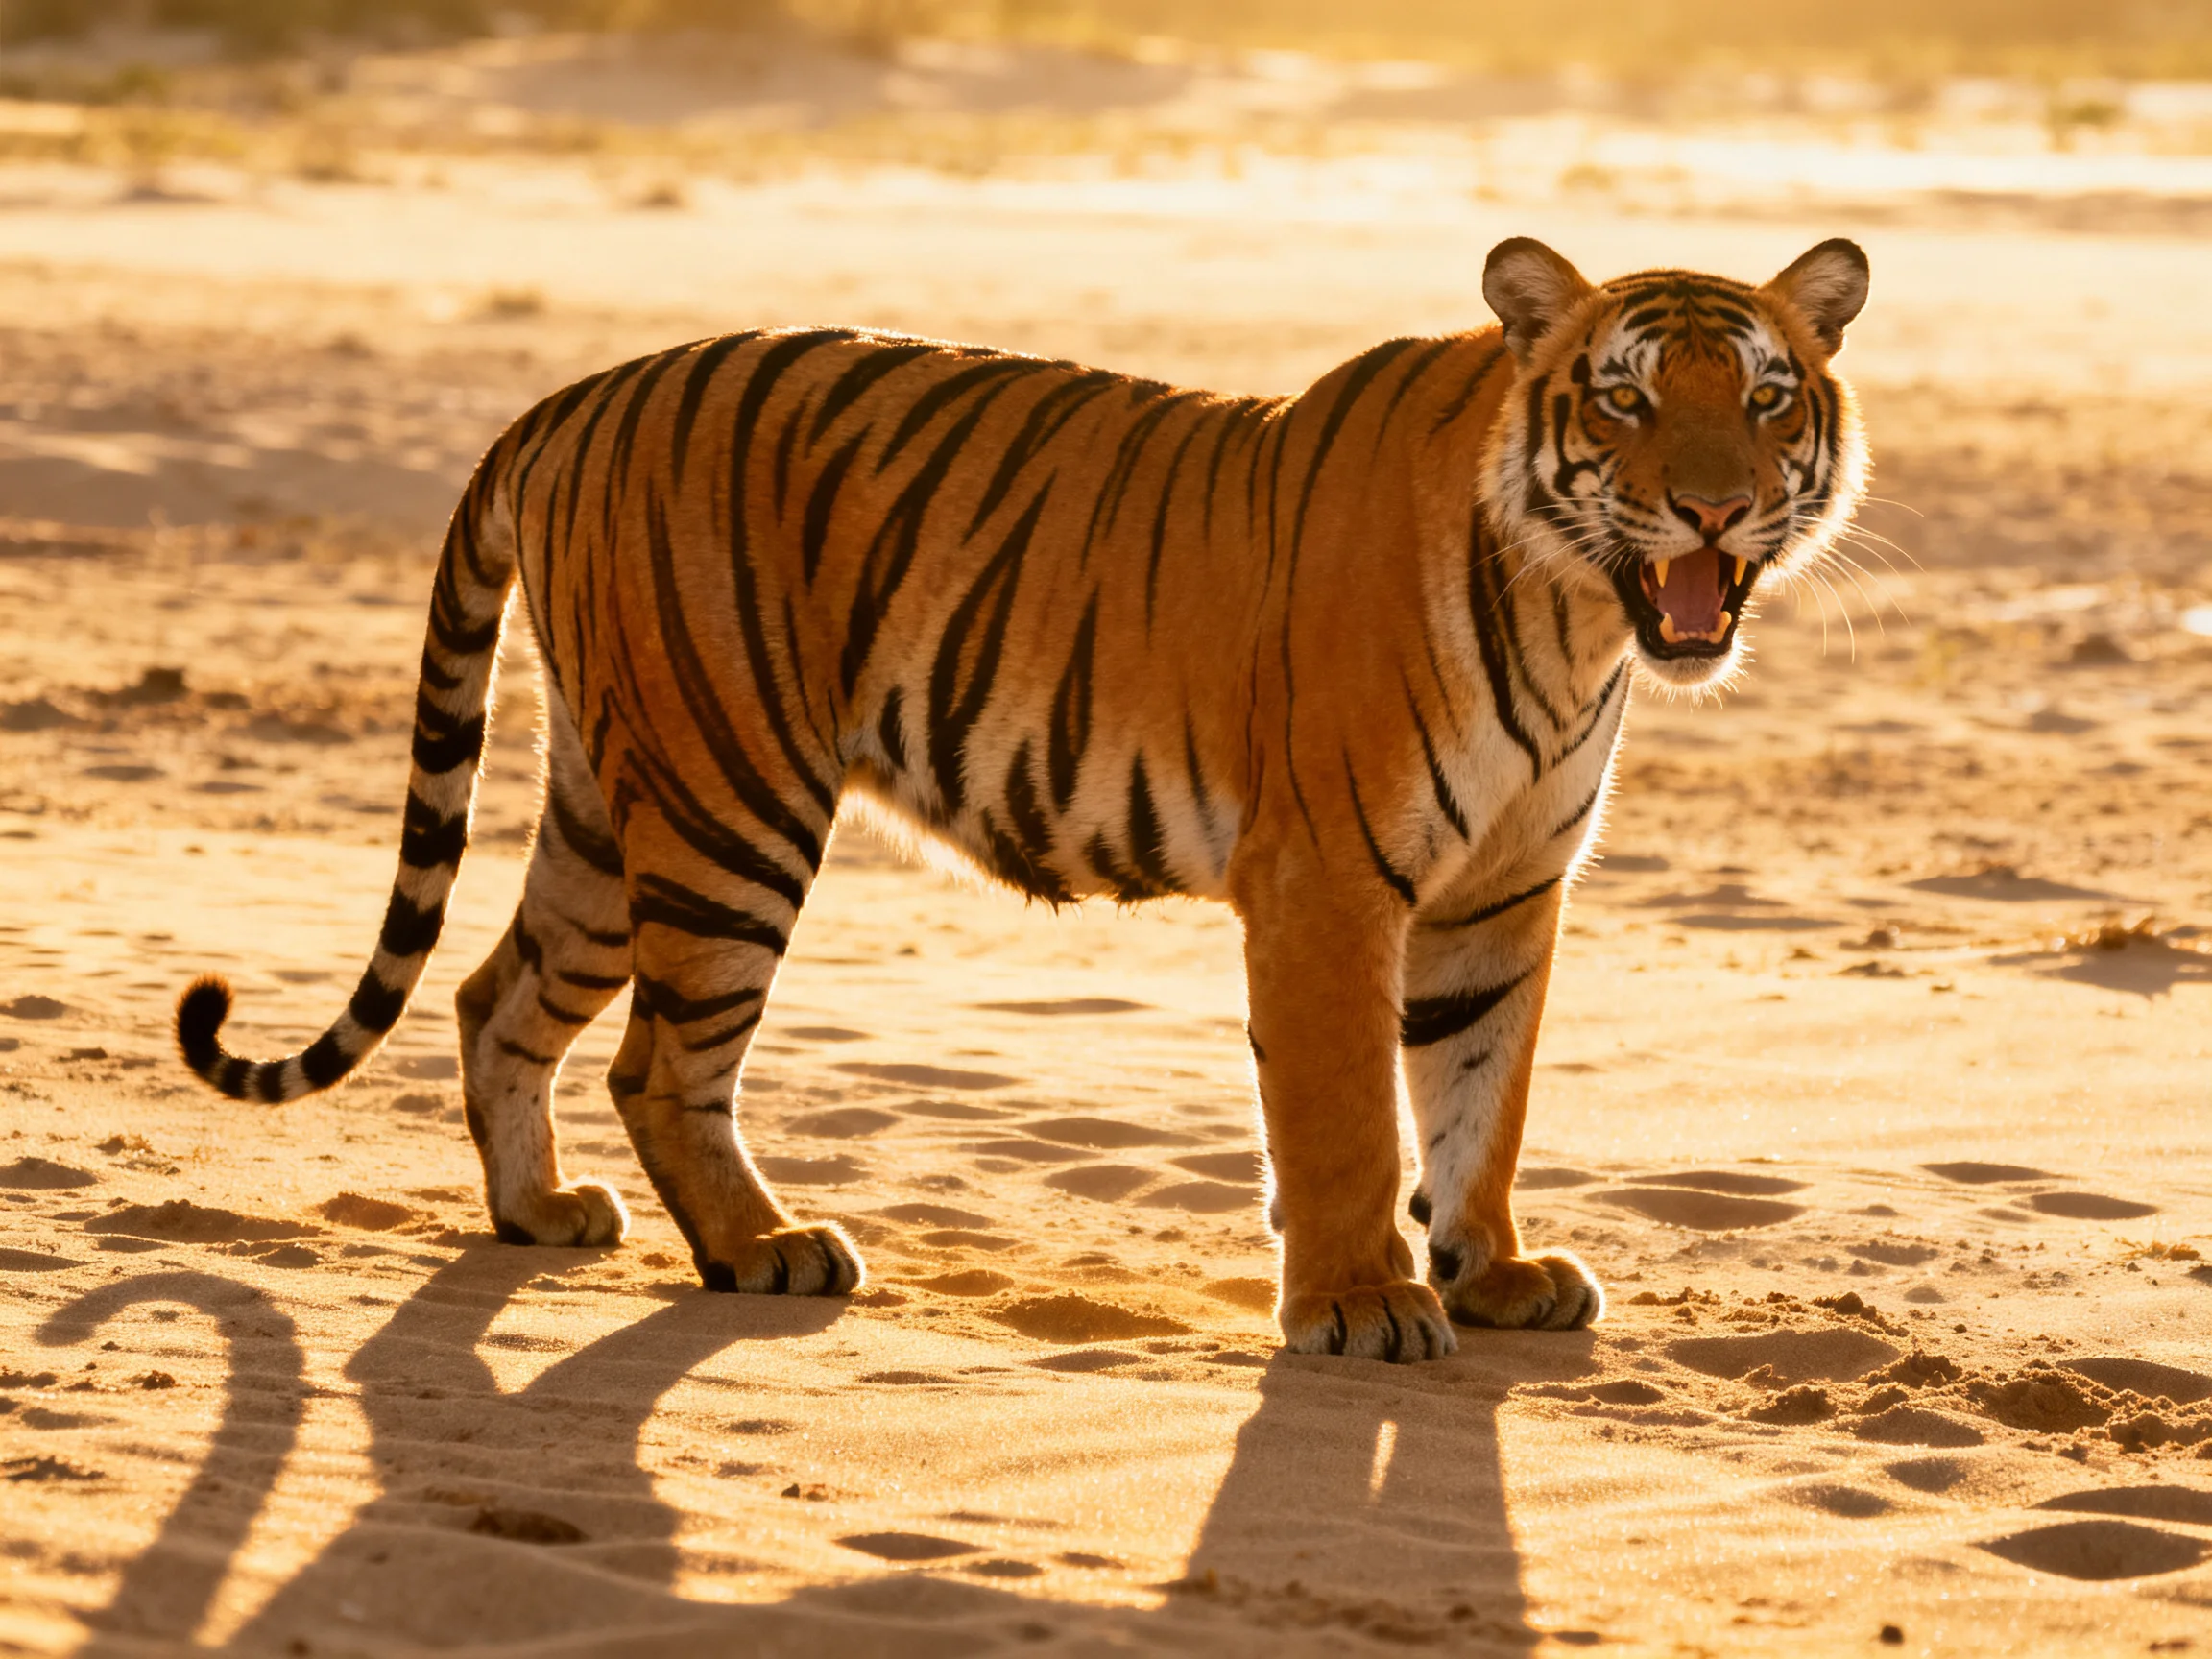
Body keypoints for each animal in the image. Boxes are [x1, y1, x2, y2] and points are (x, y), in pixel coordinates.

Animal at [175, 235, 1869, 1364]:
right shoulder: (1330, 882)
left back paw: (540, 1213)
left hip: (612, 797)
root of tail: (574, 394)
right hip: (731, 801)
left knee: (495, 997)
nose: (1713, 506)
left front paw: (1493, 1274)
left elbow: (1479, 1100)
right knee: (661, 1061)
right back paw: (766, 1249)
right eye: (1628, 402)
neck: (1580, 615)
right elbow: (1343, 1118)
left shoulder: (1505, 896)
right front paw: (1362, 1303)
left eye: (1769, 399)